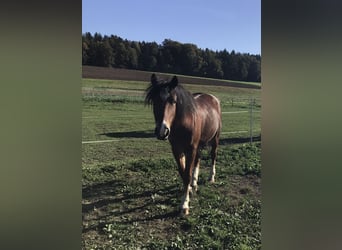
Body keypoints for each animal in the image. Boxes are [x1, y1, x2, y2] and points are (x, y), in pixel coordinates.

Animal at [145, 73, 222, 215]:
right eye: (154, 101)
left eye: (173, 101)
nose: (162, 131)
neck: (184, 122)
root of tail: (214, 99)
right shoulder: (177, 149)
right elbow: (183, 172)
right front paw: (190, 189)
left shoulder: (190, 149)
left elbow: (186, 174)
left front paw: (184, 205)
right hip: (199, 144)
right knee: (198, 160)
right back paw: (194, 184)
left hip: (215, 139)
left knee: (213, 156)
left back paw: (211, 178)